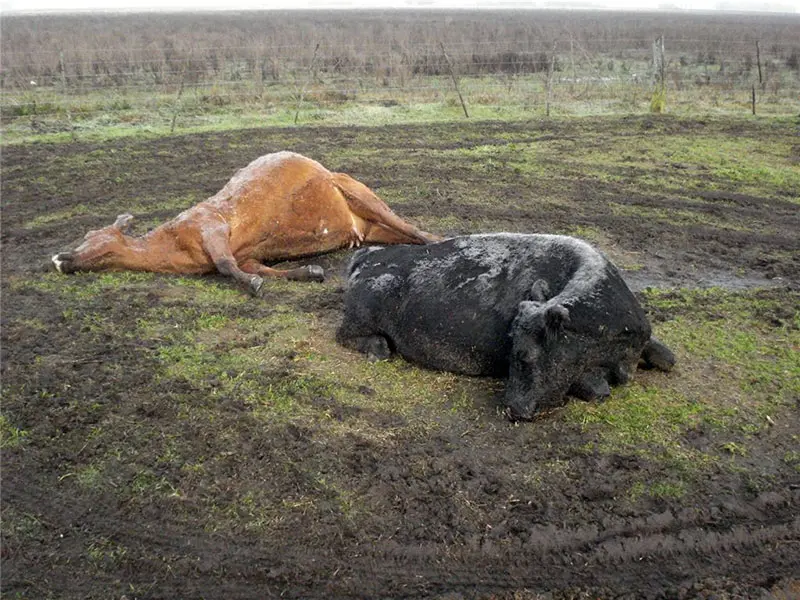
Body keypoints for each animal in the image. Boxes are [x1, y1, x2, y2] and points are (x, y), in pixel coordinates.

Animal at [51, 151, 440, 295]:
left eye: (98, 237)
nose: (60, 258)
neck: (174, 246)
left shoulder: (211, 226)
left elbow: (226, 265)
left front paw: (252, 285)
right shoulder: (247, 253)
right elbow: (256, 267)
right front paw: (307, 272)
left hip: (358, 192)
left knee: (415, 230)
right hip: (369, 228)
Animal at [336, 233, 675, 420]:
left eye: (526, 356)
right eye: (514, 352)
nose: (513, 409)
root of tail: (370, 254)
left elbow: (668, 358)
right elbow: (597, 389)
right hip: (361, 317)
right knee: (349, 337)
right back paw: (378, 347)